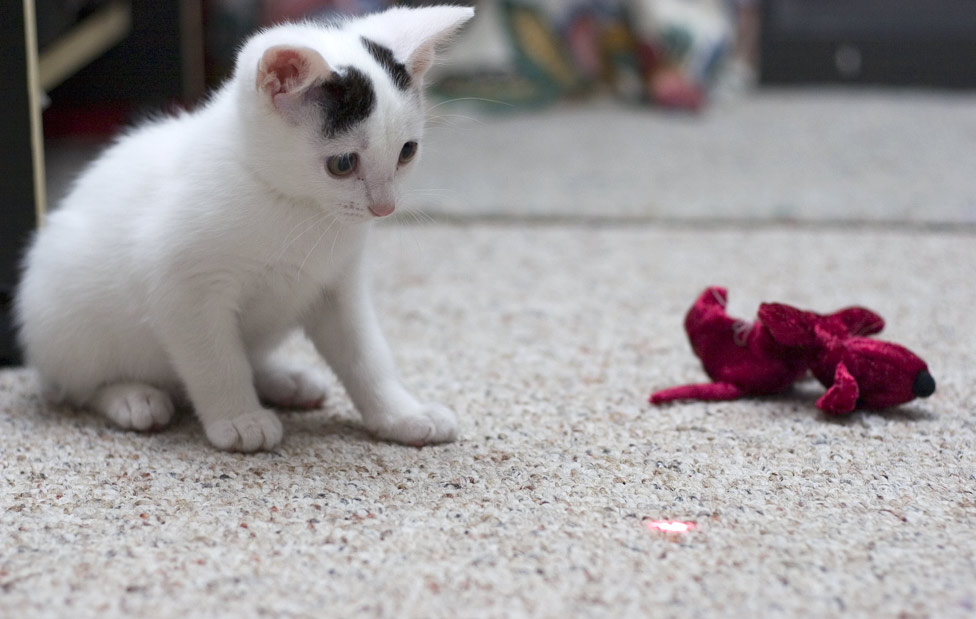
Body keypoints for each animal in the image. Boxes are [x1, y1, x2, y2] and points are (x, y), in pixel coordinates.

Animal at [14, 3, 472, 450]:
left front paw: (401, 414)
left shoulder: (337, 285)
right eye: (343, 163)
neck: (296, 207)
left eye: (407, 152)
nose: (384, 208)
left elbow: (365, 353)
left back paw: (283, 380)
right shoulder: (183, 287)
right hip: (60, 316)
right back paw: (132, 397)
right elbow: (216, 359)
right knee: (74, 385)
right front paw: (239, 419)